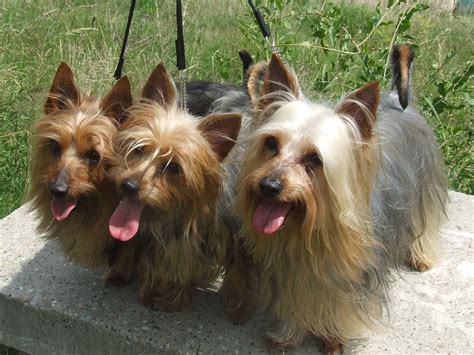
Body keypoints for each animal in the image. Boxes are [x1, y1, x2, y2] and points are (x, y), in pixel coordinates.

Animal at [234, 48, 448, 354]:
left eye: (315, 158)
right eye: (271, 143)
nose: (269, 186)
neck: (305, 229)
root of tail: (396, 99)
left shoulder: (351, 274)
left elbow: (341, 307)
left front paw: (333, 338)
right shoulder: (293, 269)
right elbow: (294, 299)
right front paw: (287, 335)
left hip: (424, 185)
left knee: (426, 220)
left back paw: (421, 256)